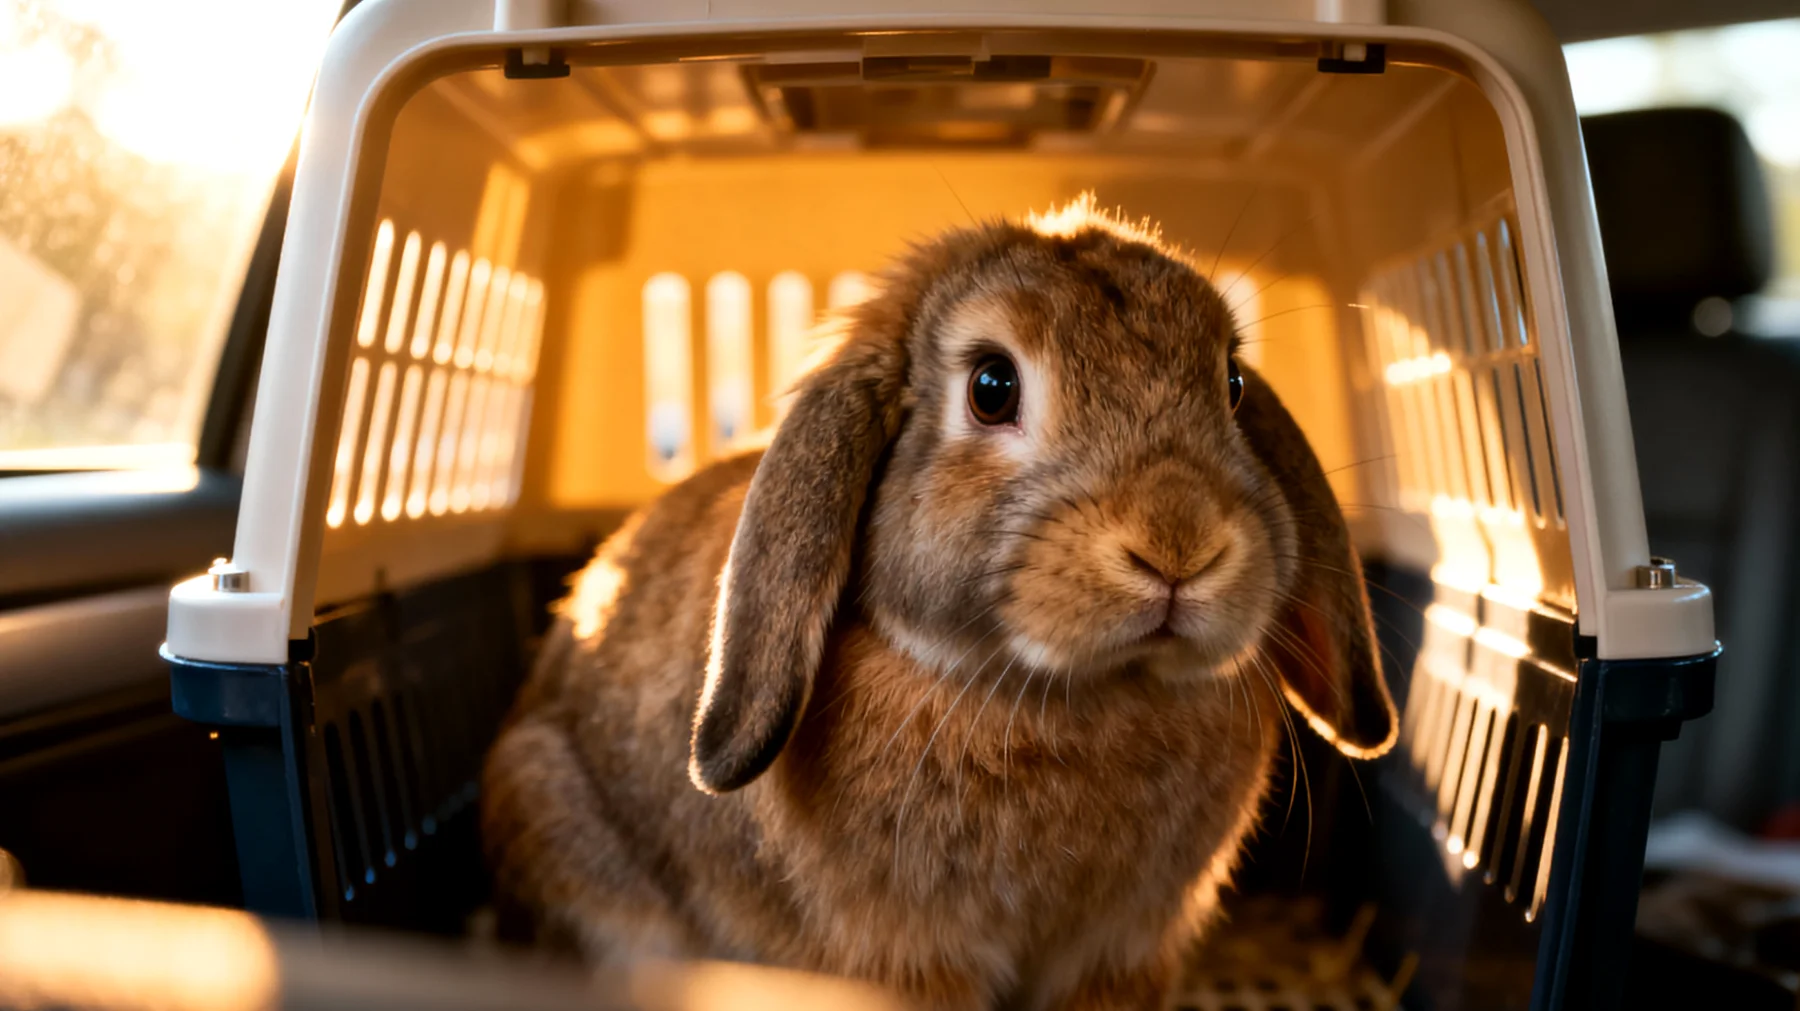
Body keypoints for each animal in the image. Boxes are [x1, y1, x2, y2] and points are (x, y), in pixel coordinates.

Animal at [481, 194, 1397, 1011]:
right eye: (992, 386)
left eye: (1234, 383)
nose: (1179, 544)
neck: (1084, 694)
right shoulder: (906, 959)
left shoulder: (1122, 953)